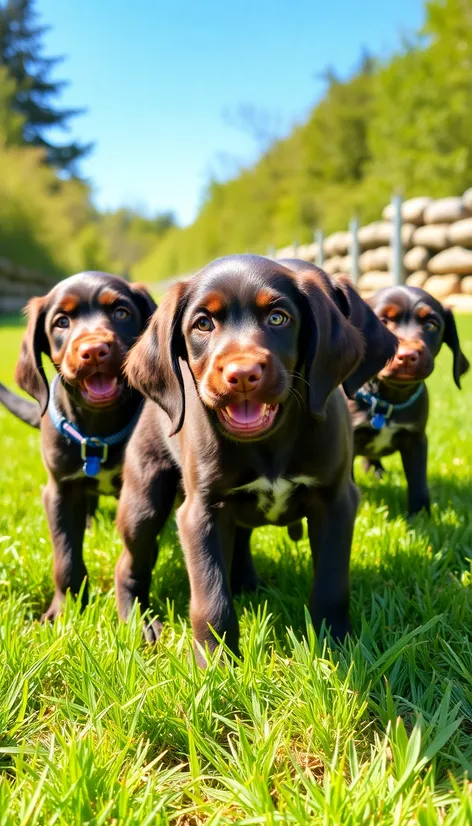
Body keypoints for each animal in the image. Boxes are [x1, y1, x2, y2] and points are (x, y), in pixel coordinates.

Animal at [116, 254, 396, 660]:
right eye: (203, 324)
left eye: (278, 318)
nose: (243, 374)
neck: (268, 443)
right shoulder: (201, 512)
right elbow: (211, 600)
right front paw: (214, 665)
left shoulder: (335, 501)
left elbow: (331, 586)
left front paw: (336, 646)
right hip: (144, 502)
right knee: (130, 562)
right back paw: (138, 622)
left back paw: (246, 583)